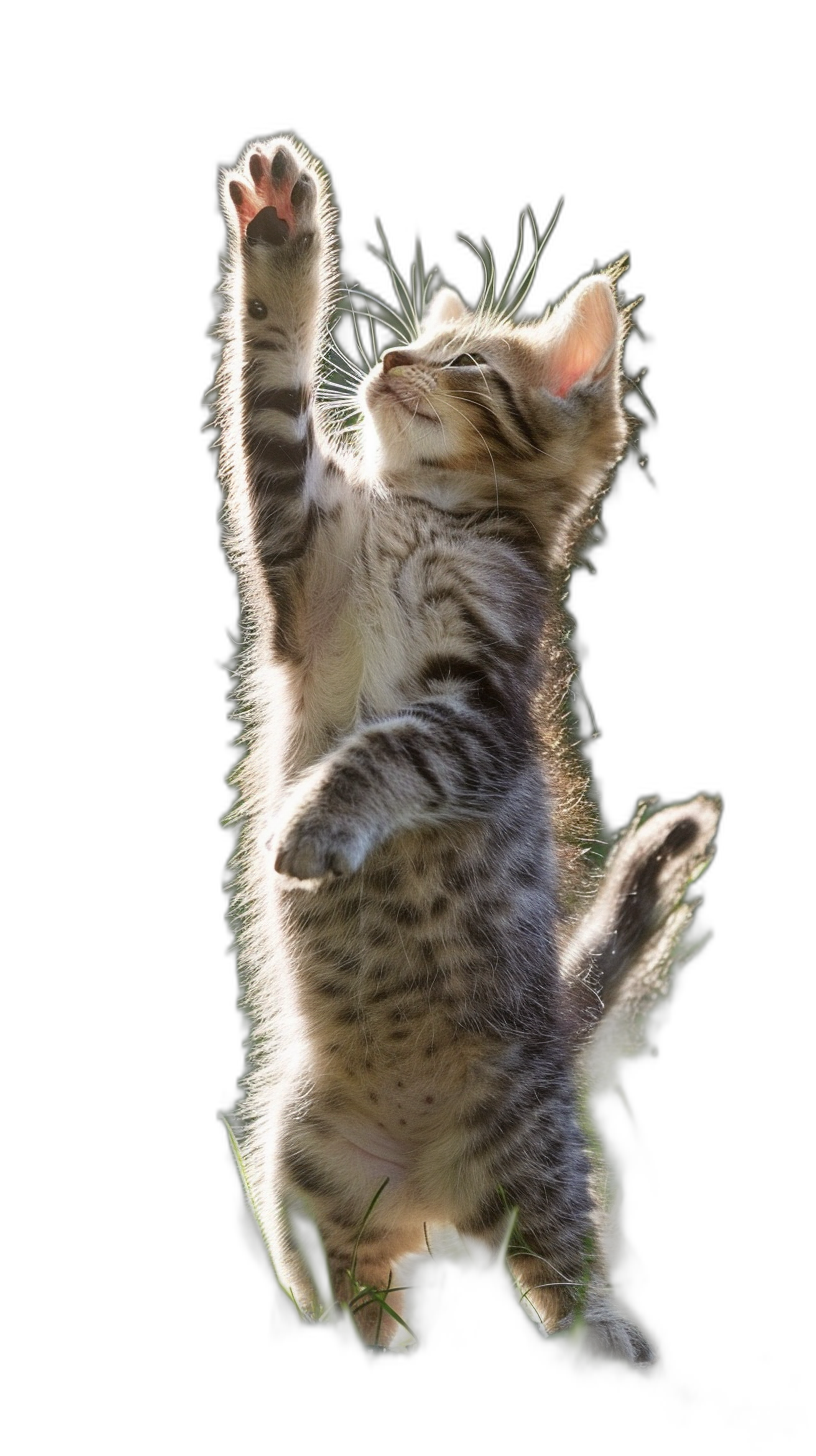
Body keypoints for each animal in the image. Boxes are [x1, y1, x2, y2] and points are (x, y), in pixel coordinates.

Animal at [214, 136, 716, 1362]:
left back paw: (605, 1327)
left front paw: (316, 823)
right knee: (355, 1283)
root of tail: (430, 1192)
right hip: (305, 1157)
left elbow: (388, 751)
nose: (394, 354)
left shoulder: (482, 710)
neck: (423, 519)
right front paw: (281, 241)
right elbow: (271, 400)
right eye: (416, 345)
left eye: (466, 362)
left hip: (537, 1155)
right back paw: (362, 1331)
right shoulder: (297, 546)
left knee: (559, 1257)